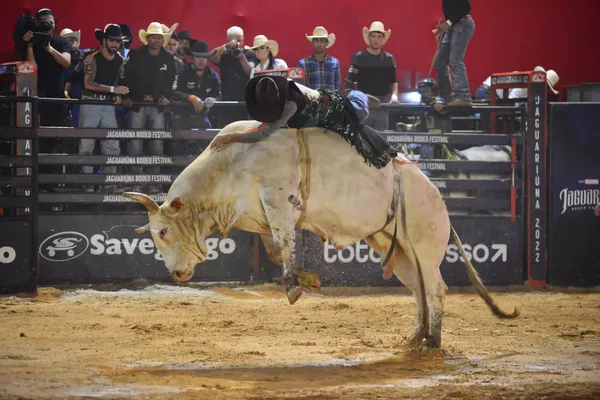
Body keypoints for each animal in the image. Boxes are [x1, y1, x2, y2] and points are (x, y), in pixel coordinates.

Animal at [124, 121, 516, 346]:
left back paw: (431, 341)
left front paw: (294, 287)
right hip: (402, 254)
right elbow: (275, 248)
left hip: (424, 248)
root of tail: (439, 197)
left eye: (163, 231)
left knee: (436, 289)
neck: (231, 165)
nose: (176, 274)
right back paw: (416, 334)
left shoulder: (278, 199)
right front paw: (307, 277)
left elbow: (284, 244)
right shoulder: (259, 215)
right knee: (420, 290)